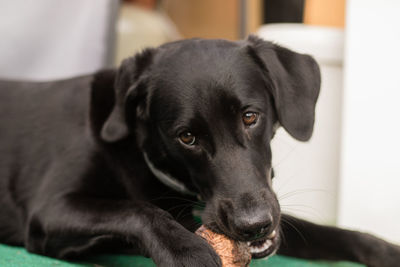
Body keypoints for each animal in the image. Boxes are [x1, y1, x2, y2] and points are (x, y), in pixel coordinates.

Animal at [0, 36, 398, 267]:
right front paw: (186, 250)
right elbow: (137, 209)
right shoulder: (51, 210)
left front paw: (386, 250)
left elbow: (331, 232)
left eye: (250, 116)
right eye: (187, 137)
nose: (253, 226)